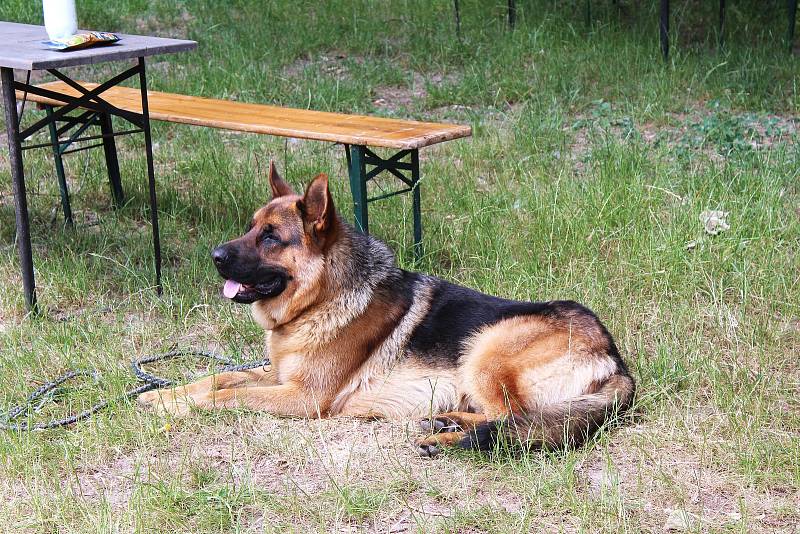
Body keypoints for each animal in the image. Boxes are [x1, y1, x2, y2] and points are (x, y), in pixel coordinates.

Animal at [139, 162, 636, 456]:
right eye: (249, 228)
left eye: (270, 238)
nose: (215, 256)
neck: (321, 301)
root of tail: (613, 356)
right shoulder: (277, 375)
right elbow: (216, 378)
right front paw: (161, 395)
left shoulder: (301, 397)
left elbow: (226, 396)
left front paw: (175, 406)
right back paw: (446, 421)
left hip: (485, 350)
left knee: (512, 420)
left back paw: (448, 437)